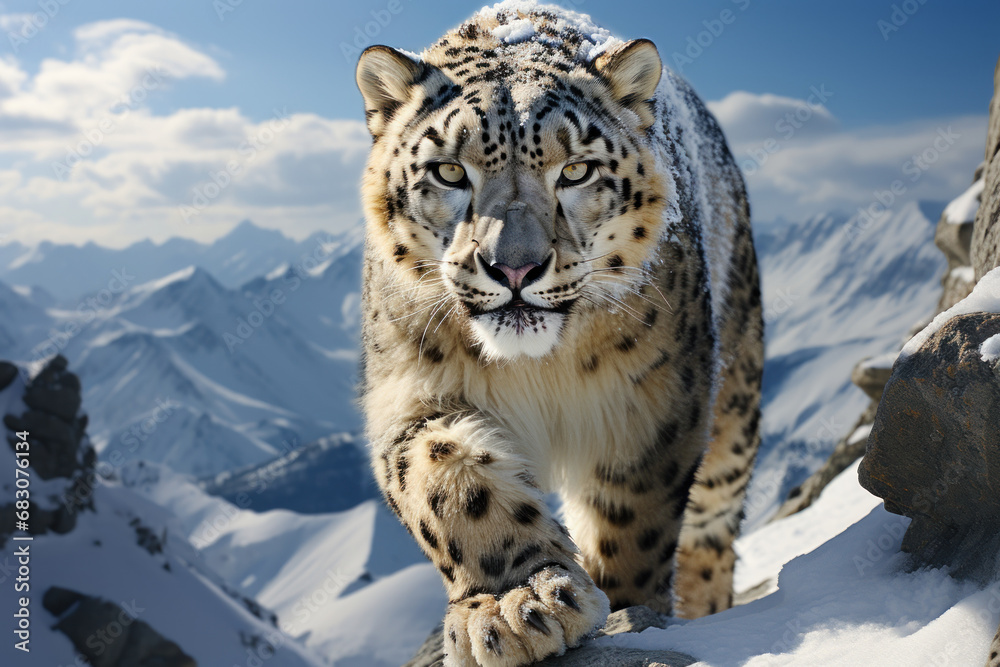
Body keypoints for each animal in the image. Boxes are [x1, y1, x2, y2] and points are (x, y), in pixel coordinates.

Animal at [354, 2, 763, 665]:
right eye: (449, 170)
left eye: (576, 170)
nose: (514, 267)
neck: (536, 370)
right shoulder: (409, 389)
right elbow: (445, 479)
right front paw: (515, 605)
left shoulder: (644, 412)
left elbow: (630, 527)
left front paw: (619, 607)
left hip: (734, 413)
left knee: (712, 531)